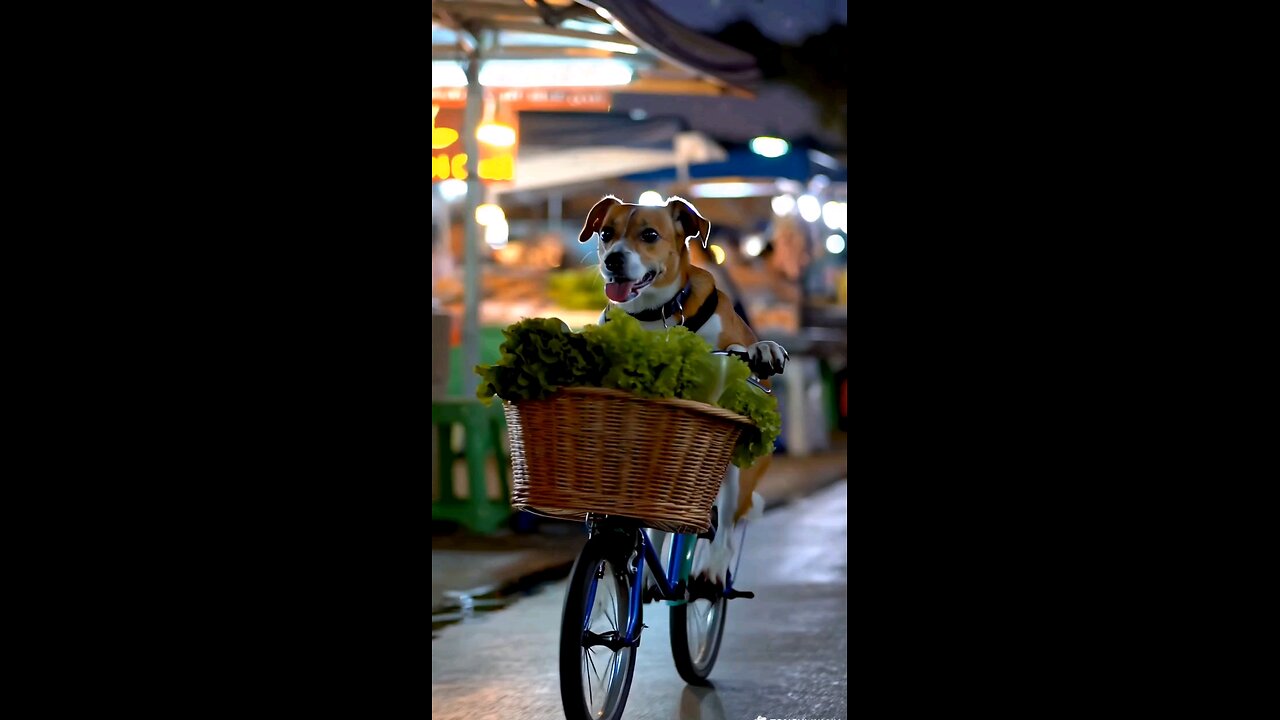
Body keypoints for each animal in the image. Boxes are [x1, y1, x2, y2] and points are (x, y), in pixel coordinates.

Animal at [583, 193, 788, 586]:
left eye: (649, 234)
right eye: (606, 233)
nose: (613, 259)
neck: (653, 315)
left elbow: (742, 353)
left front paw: (763, 349)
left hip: (738, 473)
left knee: (724, 531)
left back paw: (712, 571)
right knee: (664, 523)